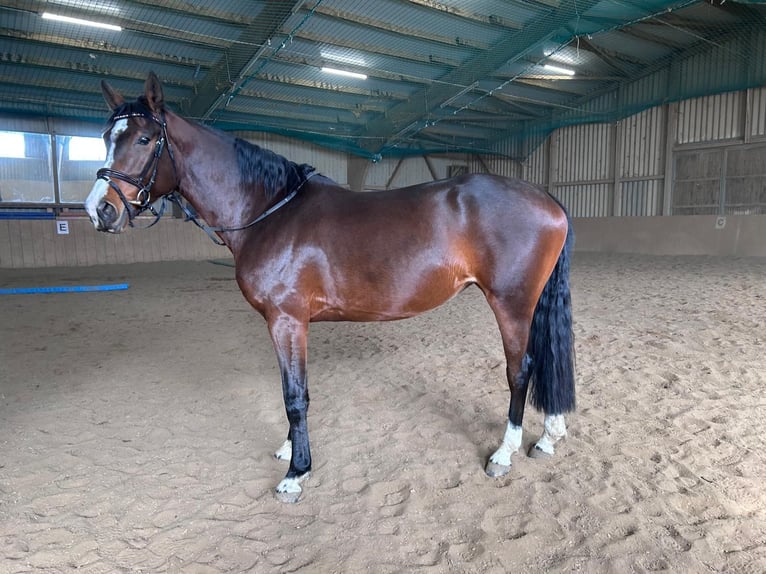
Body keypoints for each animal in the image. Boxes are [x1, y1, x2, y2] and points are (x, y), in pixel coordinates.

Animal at [85, 72, 576, 503]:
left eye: (144, 140)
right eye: (107, 136)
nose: (99, 211)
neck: (269, 210)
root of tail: (546, 198)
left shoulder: (286, 321)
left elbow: (294, 396)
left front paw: (295, 473)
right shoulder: (290, 324)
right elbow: (291, 391)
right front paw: (289, 449)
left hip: (511, 303)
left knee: (521, 368)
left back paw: (504, 454)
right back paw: (548, 437)